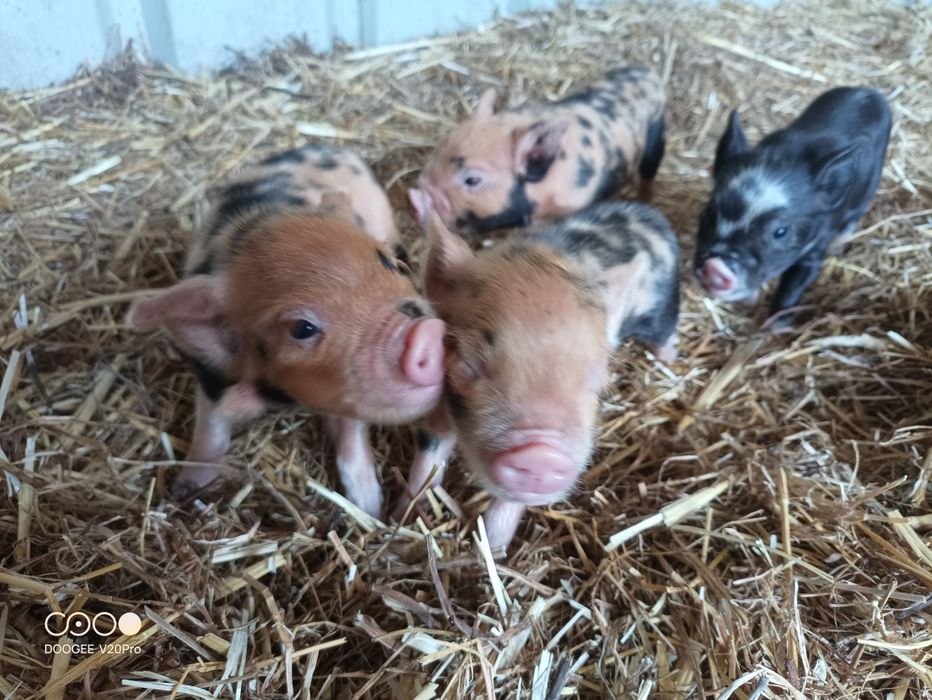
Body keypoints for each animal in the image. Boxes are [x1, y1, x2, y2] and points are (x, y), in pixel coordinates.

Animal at [127, 144, 446, 516]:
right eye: (302, 328)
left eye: (396, 266)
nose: (428, 334)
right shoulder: (212, 375)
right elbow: (211, 431)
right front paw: (184, 492)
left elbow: (352, 438)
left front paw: (370, 508)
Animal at [397, 202, 680, 548]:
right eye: (469, 364)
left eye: (596, 380)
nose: (541, 455)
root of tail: (653, 214)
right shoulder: (441, 398)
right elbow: (429, 451)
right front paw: (402, 514)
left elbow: (511, 502)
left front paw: (494, 550)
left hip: (663, 310)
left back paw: (668, 357)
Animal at [408, 66, 666, 234]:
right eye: (439, 147)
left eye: (472, 180)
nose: (415, 197)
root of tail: (648, 73)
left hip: (656, 135)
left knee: (648, 171)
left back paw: (645, 199)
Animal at [694, 87, 891, 325]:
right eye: (709, 212)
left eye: (781, 231)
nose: (715, 265)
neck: (782, 159)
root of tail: (869, 91)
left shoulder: (814, 250)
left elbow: (793, 288)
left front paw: (776, 327)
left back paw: (837, 248)